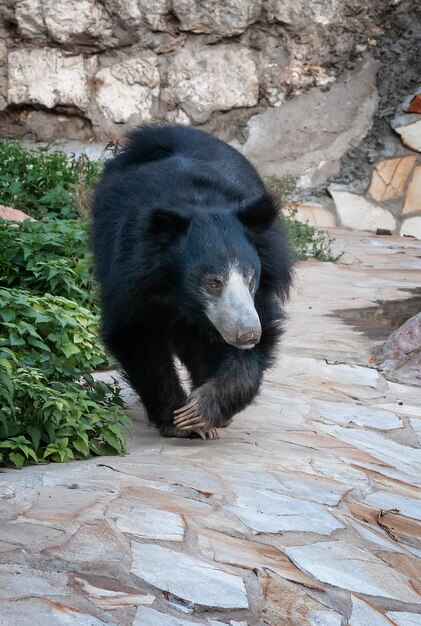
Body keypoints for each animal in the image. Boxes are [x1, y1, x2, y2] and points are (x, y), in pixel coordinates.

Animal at [91, 124, 290, 436]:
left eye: (250, 279)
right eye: (213, 283)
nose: (247, 334)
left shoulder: (261, 291)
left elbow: (262, 335)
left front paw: (201, 412)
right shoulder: (128, 276)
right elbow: (134, 333)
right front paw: (178, 420)